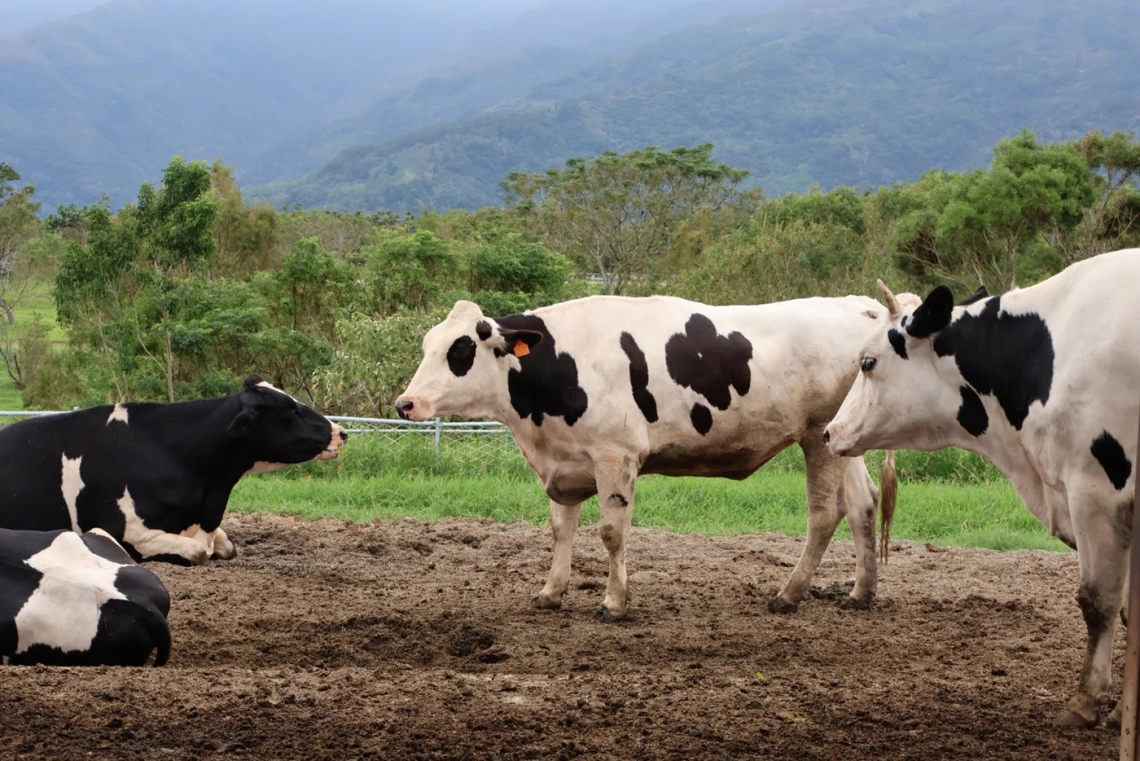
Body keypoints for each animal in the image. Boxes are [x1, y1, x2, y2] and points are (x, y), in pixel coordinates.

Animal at [396, 293, 902, 619]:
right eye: (427, 344)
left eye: (460, 348)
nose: (405, 403)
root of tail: (863, 305)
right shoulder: (566, 460)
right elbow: (561, 529)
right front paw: (551, 592)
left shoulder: (615, 456)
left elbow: (611, 533)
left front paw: (614, 603)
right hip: (839, 438)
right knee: (862, 504)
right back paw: (861, 593)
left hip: (816, 437)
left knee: (824, 513)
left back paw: (789, 594)